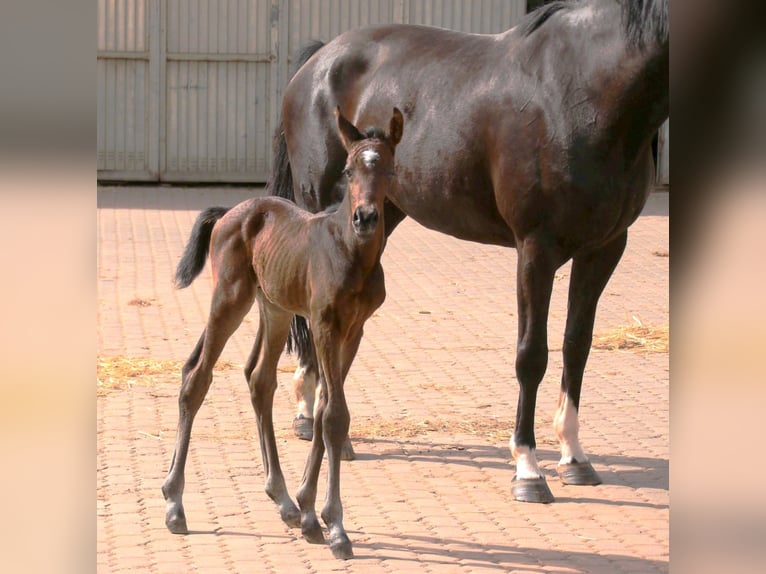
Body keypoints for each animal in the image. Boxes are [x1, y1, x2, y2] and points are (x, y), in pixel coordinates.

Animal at [160, 106, 404, 560]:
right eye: (347, 170)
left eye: (390, 170)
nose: (365, 218)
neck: (350, 252)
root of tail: (230, 213)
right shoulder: (324, 324)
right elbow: (334, 414)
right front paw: (335, 526)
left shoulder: (355, 330)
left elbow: (326, 409)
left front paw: (309, 513)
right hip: (230, 299)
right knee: (196, 379)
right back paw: (174, 504)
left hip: (273, 308)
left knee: (258, 378)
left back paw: (284, 500)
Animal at [272, 0, 668, 504]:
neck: (586, 87)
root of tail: (319, 61)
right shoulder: (535, 248)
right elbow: (531, 355)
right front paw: (528, 469)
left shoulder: (604, 249)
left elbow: (576, 346)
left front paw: (574, 458)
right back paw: (314, 418)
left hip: (384, 213)